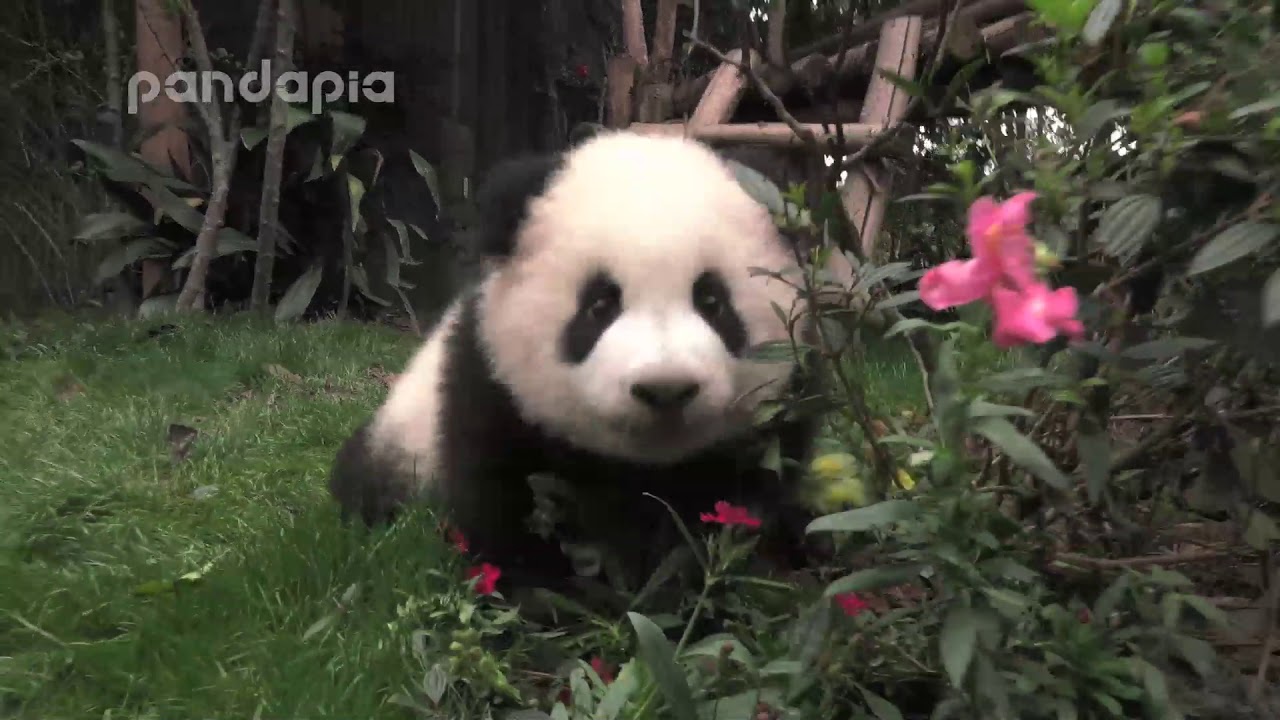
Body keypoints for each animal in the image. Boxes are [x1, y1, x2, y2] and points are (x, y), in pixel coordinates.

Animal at [329, 130, 823, 596]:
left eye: (712, 301)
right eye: (599, 304)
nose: (665, 388)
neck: (646, 465)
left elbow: (738, 506)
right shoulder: (493, 387)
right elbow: (507, 508)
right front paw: (552, 601)